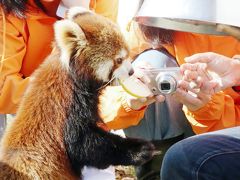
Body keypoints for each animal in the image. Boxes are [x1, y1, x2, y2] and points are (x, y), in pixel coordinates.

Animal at [0, 7, 154, 180]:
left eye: (128, 54)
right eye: (119, 60)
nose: (131, 71)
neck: (72, 76)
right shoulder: (68, 108)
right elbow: (83, 145)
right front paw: (139, 149)